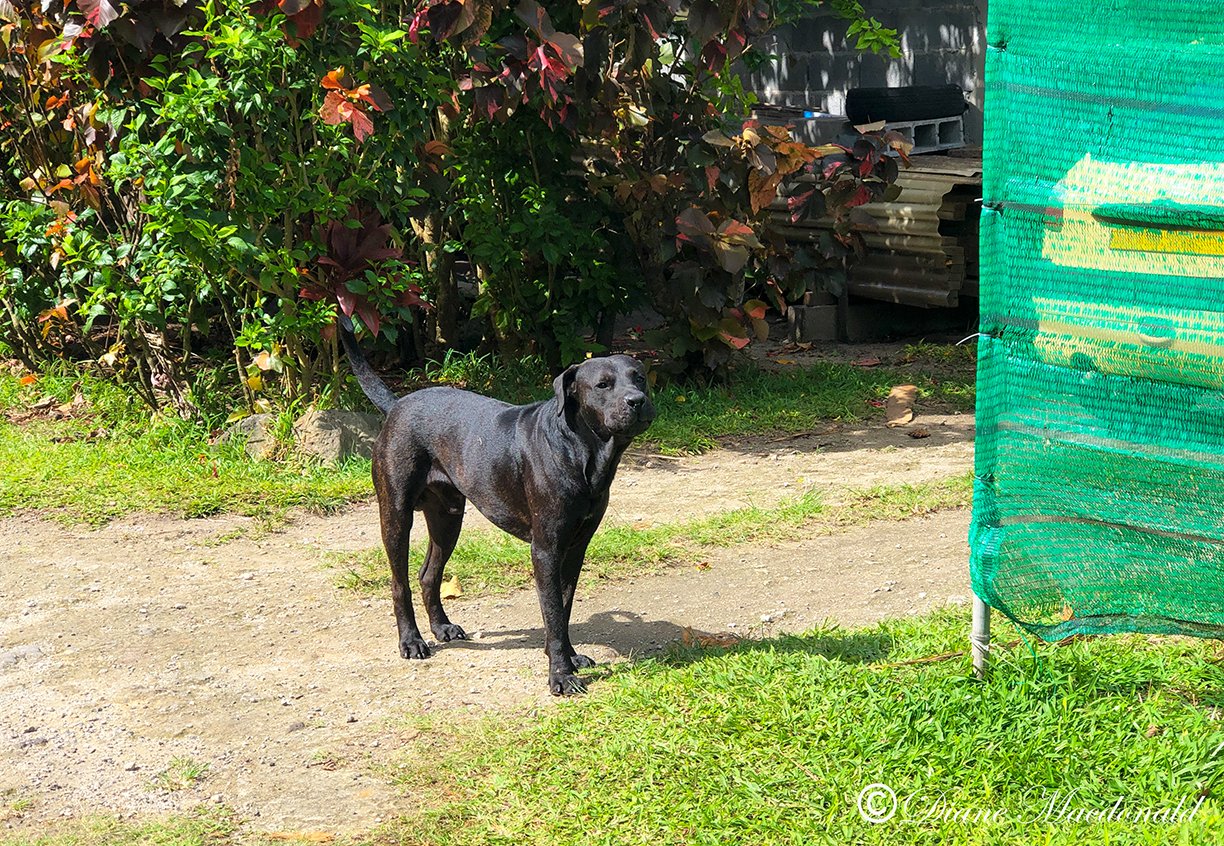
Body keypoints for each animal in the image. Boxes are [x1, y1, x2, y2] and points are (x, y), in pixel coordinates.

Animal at [340, 318, 656, 695]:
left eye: (639, 377)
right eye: (603, 384)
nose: (637, 401)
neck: (582, 451)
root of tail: (398, 403)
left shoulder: (575, 547)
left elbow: (563, 608)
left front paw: (568, 656)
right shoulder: (546, 549)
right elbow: (552, 611)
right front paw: (561, 675)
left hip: (448, 518)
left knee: (428, 574)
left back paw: (442, 627)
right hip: (395, 514)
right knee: (399, 580)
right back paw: (411, 640)